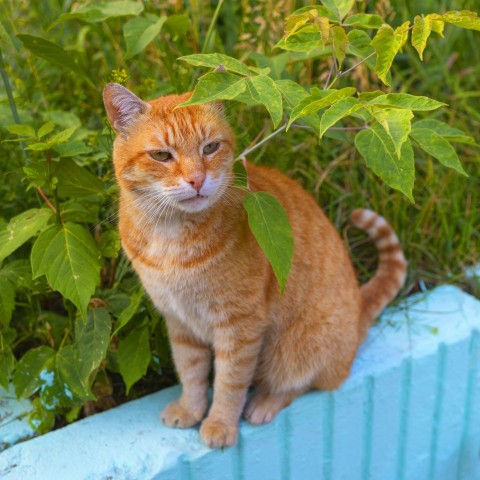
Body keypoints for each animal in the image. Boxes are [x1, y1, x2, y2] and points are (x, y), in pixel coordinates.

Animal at [103, 83, 406, 450]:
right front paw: (191, 409)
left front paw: (220, 424)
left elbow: (229, 382)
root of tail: (360, 308)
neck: (171, 235)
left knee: (305, 383)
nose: (197, 180)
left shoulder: (240, 326)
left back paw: (264, 402)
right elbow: (190, 371)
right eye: (161, 156)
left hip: (292, 350)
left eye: (210, 147)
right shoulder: (179, 322)